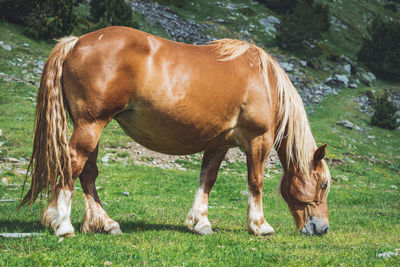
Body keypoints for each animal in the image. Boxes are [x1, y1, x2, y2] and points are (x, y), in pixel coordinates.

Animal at [19, 26, 332, 238]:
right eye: (324, 184)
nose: (322, 228)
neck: (265, 81)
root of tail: (75, 42)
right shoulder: (258, 140)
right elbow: (255, 182)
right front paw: (260, 225)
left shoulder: (218, 144)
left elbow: (207, 180)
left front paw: (200, 223)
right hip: (90, 124)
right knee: (73, 164)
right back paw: (63, 225)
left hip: (90, 127)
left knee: (87, 173)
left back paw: (105, 223)